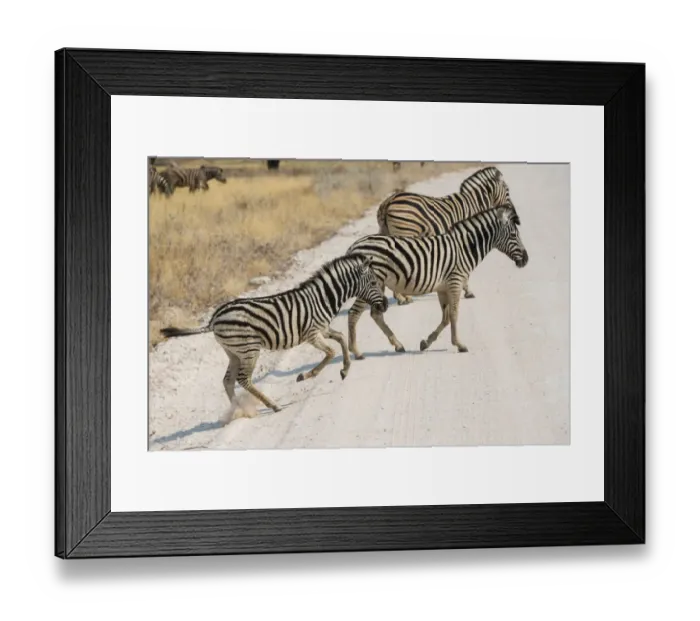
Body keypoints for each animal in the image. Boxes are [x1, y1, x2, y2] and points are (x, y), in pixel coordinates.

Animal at [160, 254, 388, 414]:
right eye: (374, 283)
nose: (385, 305)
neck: (323, 298)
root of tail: (214, 318)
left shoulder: (323, 329)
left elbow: (340, 338)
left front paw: (345, 370)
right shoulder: (312, 334)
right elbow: (331, 352)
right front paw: (305, 375)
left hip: (233, 352)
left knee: (227, 381)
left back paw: (239, 410)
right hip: (249, 349)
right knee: (243, 379)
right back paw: (272, 405)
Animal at [345, 205, 528, 360]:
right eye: (514, 235)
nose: (526, 260)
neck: (464, 248)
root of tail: (354, 245)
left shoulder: (443, 287)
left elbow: (446, 317)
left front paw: (426, 342)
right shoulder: (455, 282)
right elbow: (454, 314)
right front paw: (459, 345)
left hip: (378, 284)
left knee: (375, 314)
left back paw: (398, 345)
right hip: (368, 284)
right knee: (354, 314)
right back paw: (356, 352)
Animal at [376, 166, 514, 304]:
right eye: (507, 190)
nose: (511, 211)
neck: (474, 204)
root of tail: (388, 201)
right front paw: (468, 291)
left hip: (387, 232)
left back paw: (400, 297)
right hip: (405, 232)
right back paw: (403, 298)